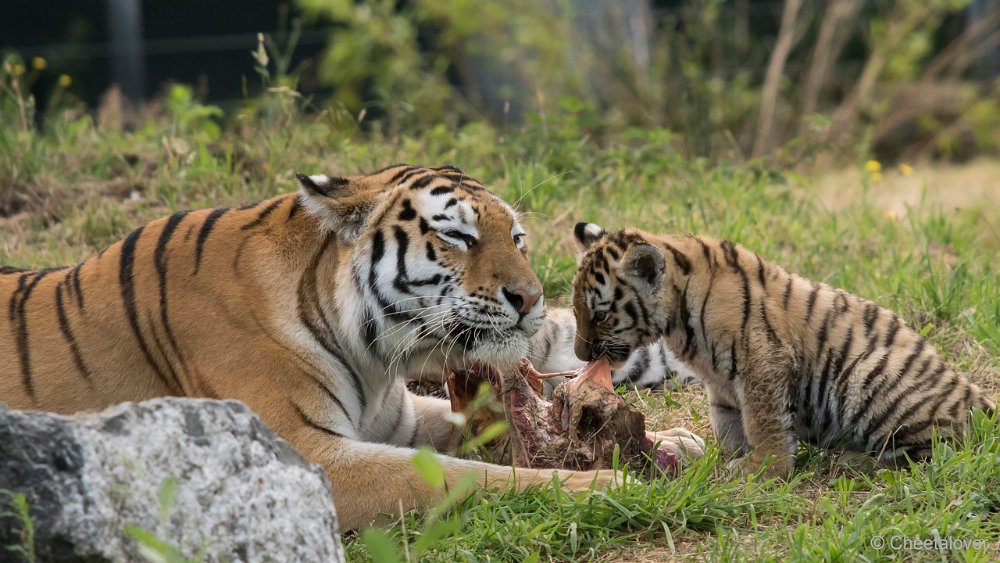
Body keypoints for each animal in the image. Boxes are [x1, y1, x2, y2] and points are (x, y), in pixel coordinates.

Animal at [0, 165, 704, 532]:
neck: (368, 353)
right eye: (459, 237)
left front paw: (675, 443)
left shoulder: (395, 419)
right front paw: (603, 484)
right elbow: (462, 477)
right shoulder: (307, 455)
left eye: (518, 237)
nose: (531, 299)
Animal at [572, 223, 992, 478]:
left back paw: (853, 461)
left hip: (868, 375)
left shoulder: (762, 362)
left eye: (601, 314)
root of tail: (980, 400)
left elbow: (765, 423)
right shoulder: (721, 384)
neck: (677, 318)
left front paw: (762, 469)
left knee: (934, 451)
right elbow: (727, 423)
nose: (580, 355)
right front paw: (727, 461)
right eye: (576, 309)